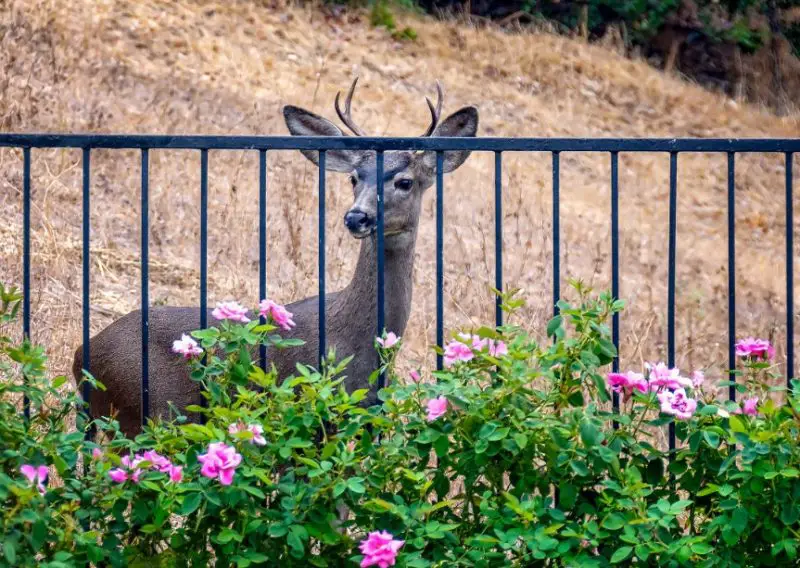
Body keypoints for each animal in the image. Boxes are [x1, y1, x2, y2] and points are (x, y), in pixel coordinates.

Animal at [72, 77, 478, 438]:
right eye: (354, 178)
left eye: (405, 181)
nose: (356, 217)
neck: (354, 340)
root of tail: (81, 358)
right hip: (144, 412)